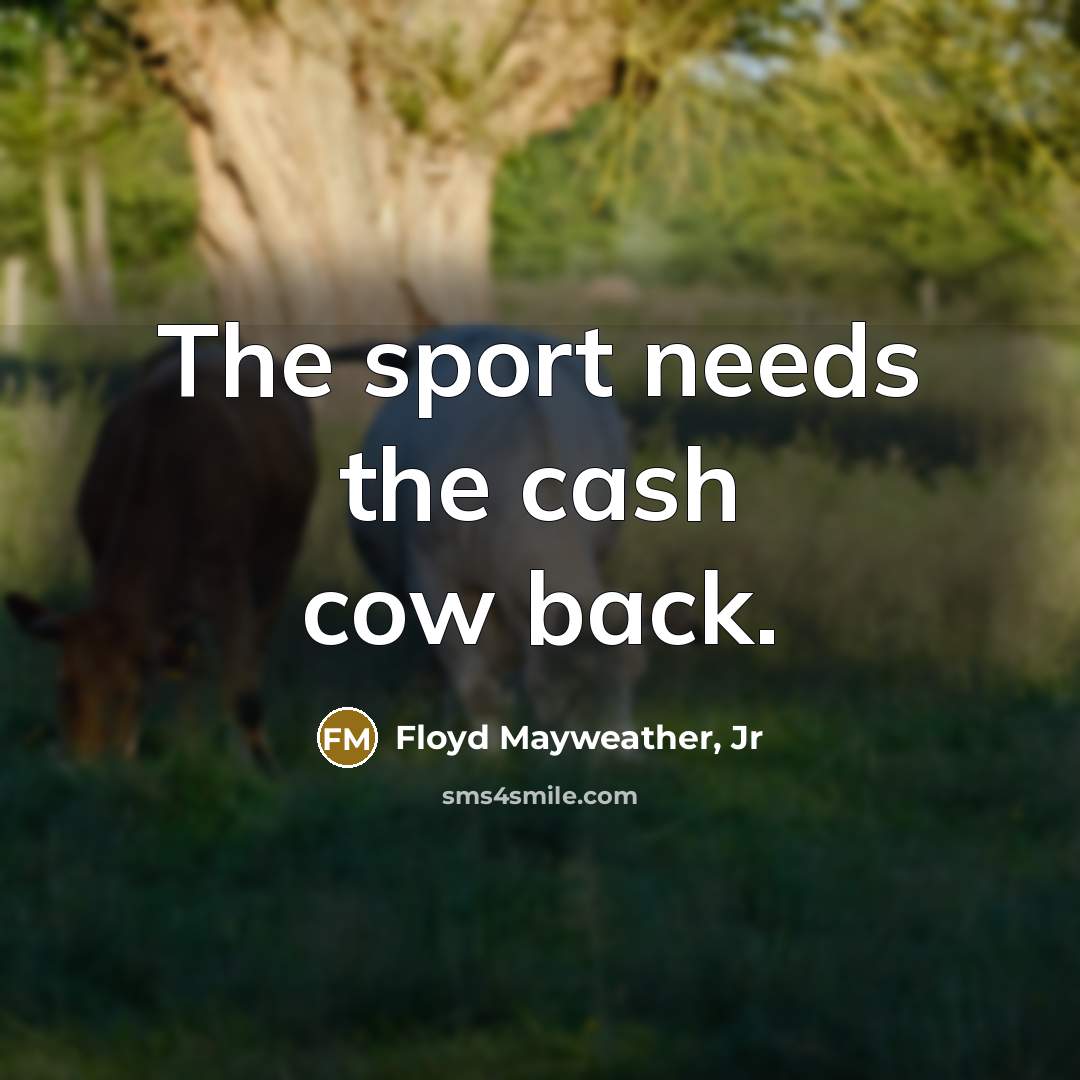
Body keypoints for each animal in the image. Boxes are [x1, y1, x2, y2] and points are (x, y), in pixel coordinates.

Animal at [5, 347, 317, 767]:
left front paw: (246, 762)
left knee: (252, 651)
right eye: (65, 685)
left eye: (124, 691)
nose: (84, 766)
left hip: (278, 557)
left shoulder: (228, 574)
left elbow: (239, 680)